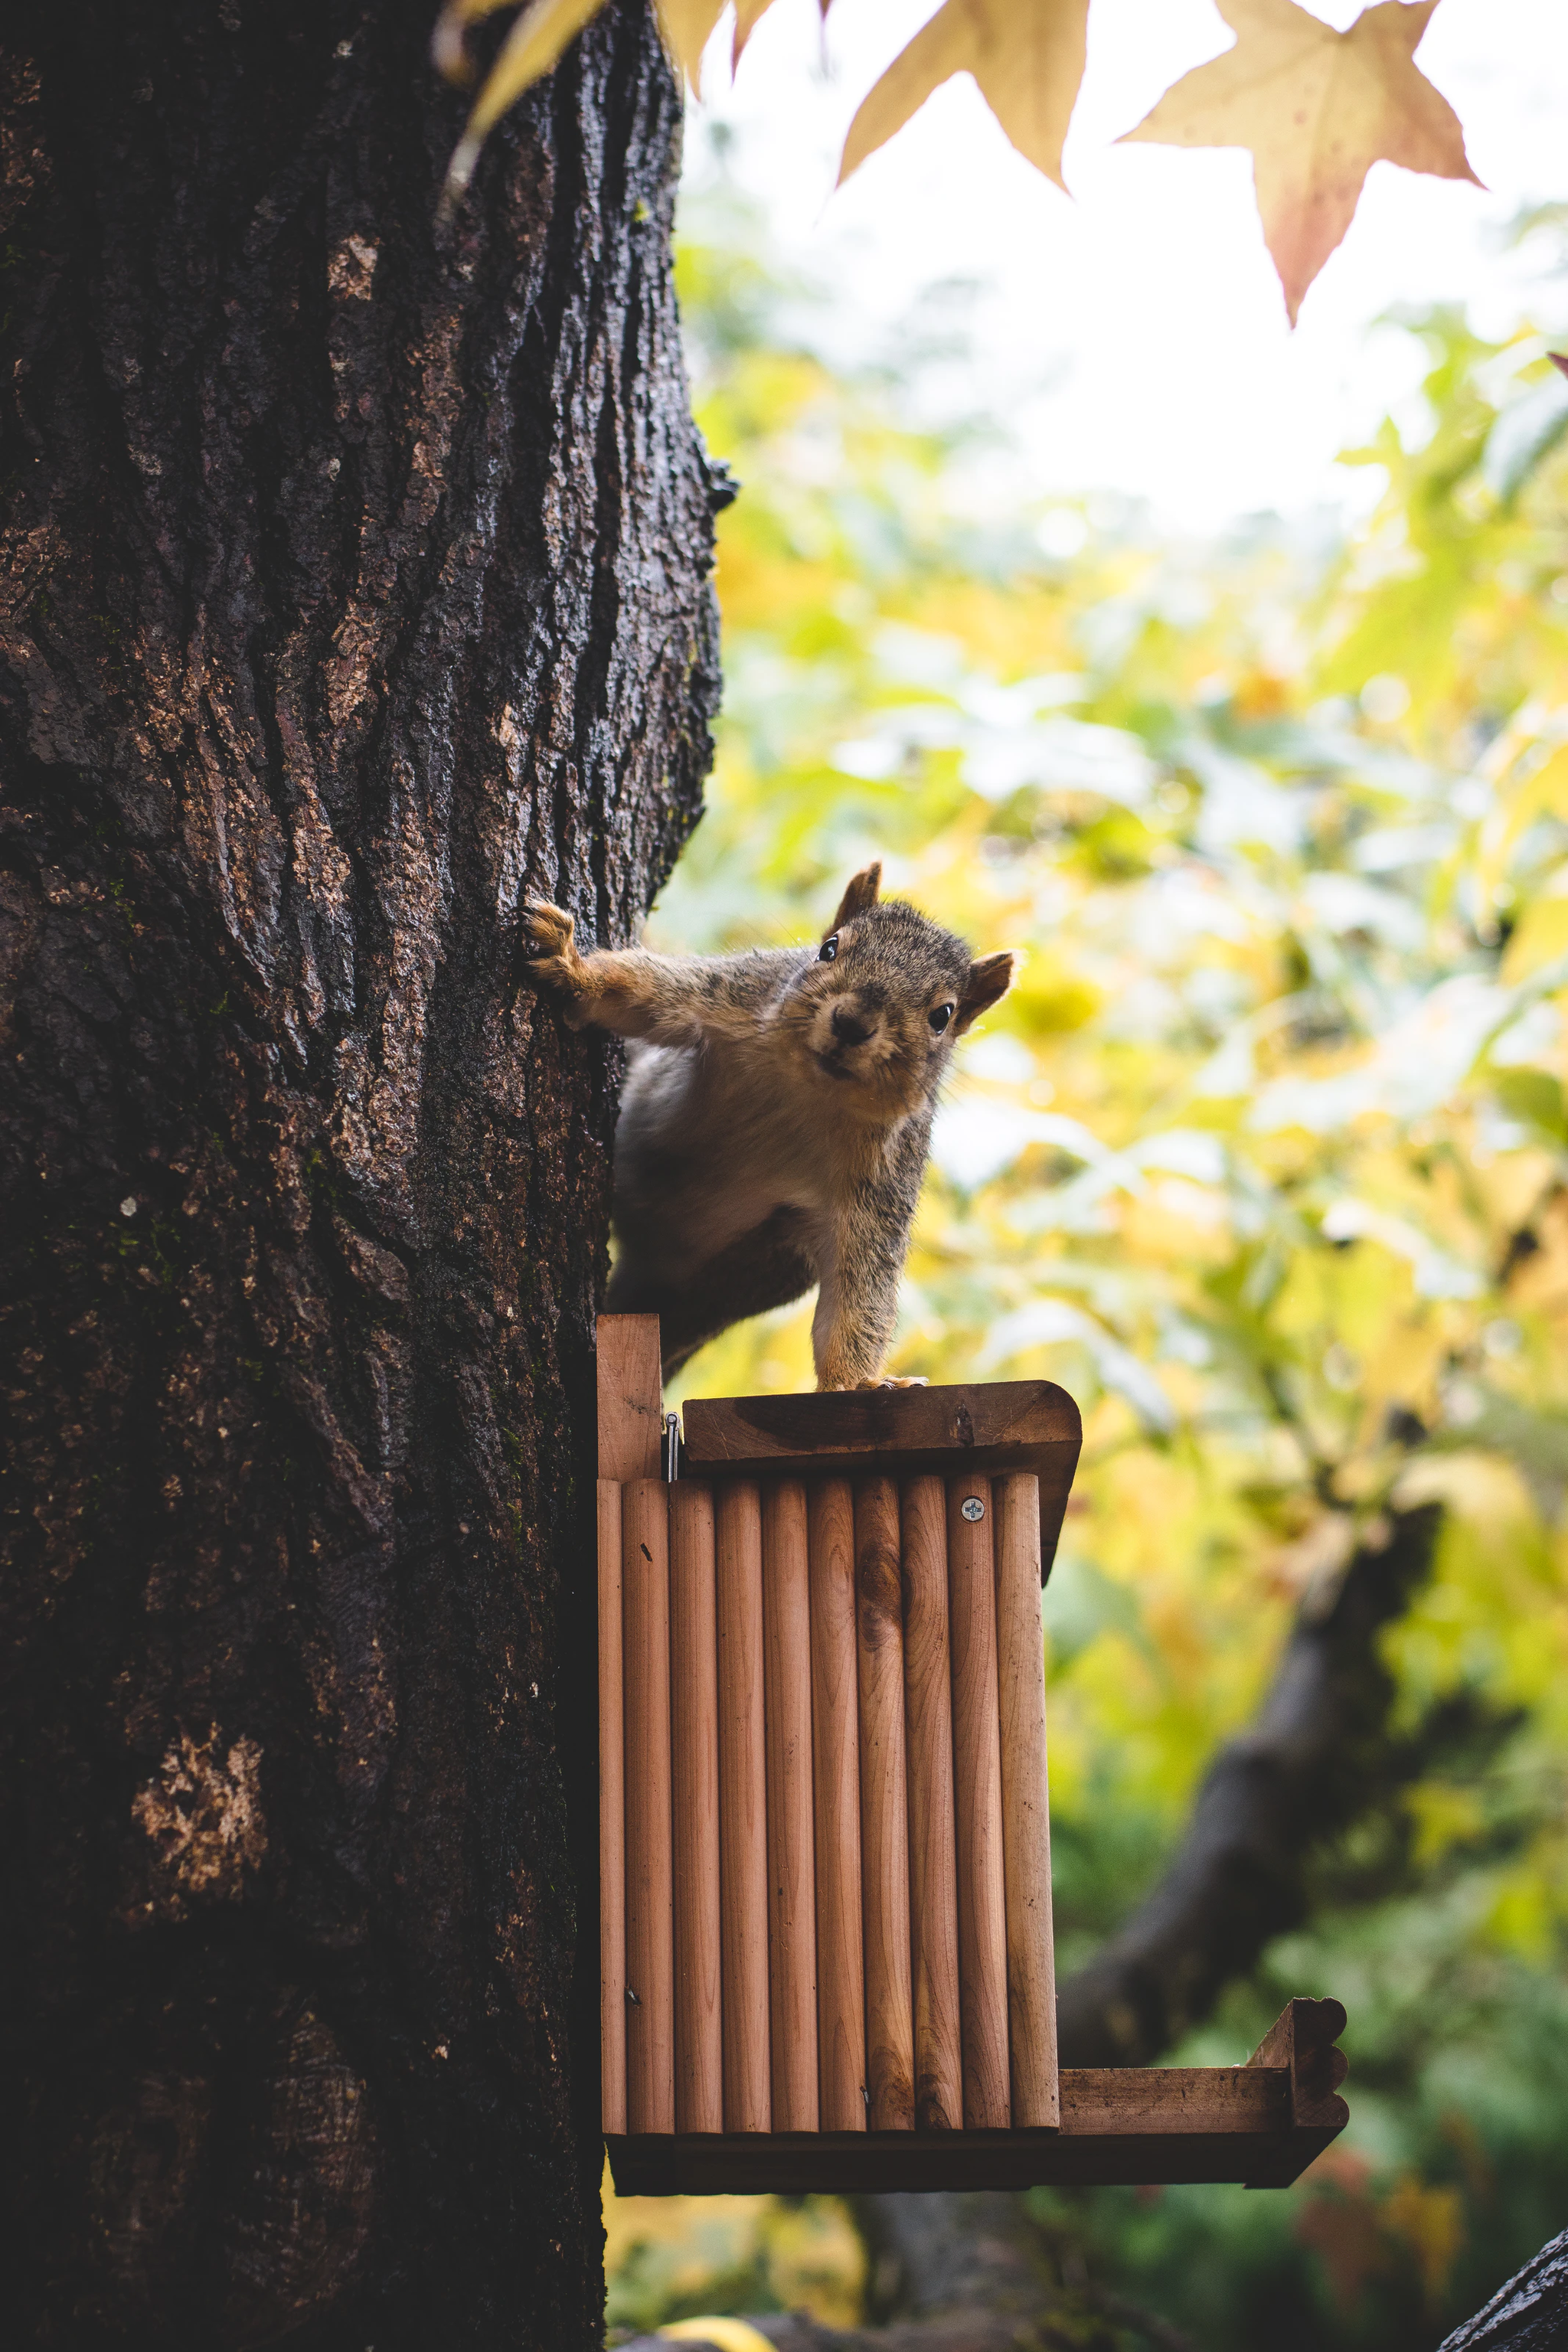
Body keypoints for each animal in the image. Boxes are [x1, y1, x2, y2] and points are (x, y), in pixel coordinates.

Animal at [524, 865, 1020, 1383]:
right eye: (829, 949)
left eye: (942, 1016)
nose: (852, 1022)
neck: (809, 1092)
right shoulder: (733, 996)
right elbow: (641, 992)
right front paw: (569, 965)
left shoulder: (881, 1189)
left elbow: (859, 1293)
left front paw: (856, 1383)